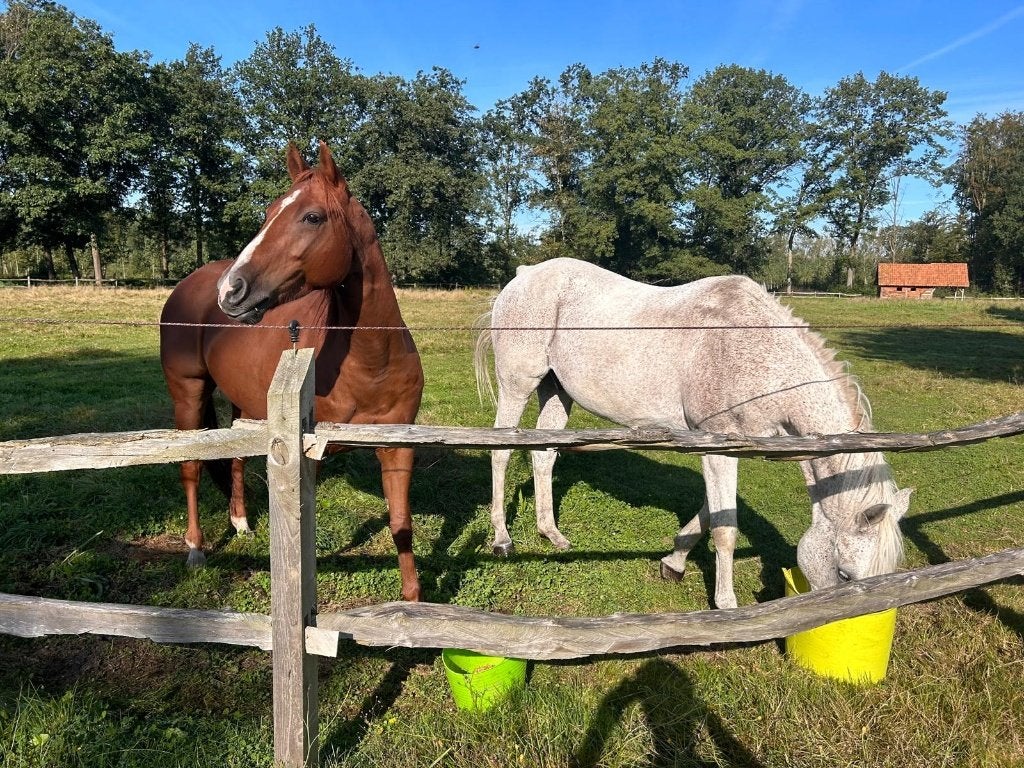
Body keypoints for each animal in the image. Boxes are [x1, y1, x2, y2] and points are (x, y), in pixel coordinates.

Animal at [160, 141, 425, 601]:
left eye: (312, 217)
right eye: (268, 212)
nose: (231, 290)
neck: (372, 361)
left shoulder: (397, 447)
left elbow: (400, 525)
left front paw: (413, 602)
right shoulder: (308, 454)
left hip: (243, 404)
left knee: (235, 459)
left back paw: (241, 523)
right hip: (188, 394)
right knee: (190, 467)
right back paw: (195, 549)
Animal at [475, 257, 911, 609]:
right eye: (844, 575)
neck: (753, 350)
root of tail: (524, 275)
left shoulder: (726, 449)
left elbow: (710, 513)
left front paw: (674, 562)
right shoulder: (716, 448)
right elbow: (724, 530)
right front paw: (727, 606)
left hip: (556, 390)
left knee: (543, 454)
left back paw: (552, 534)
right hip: (518, 385)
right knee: (501, 453)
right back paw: (502, 539)